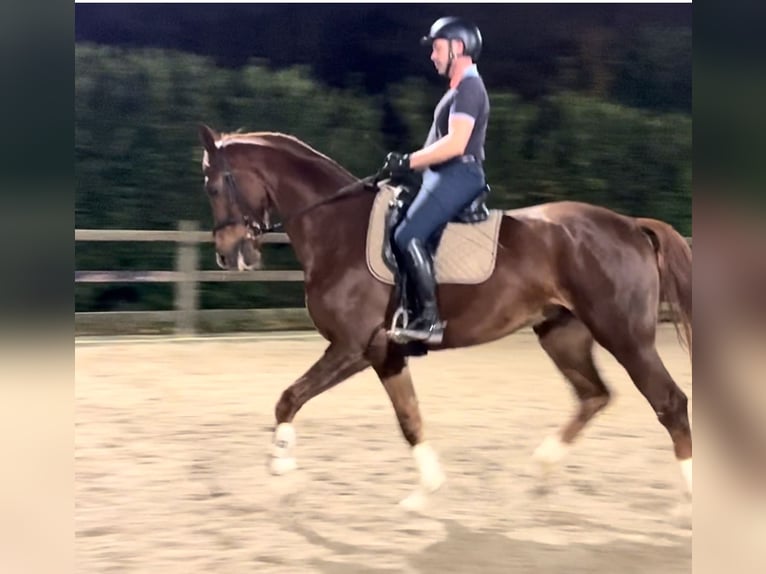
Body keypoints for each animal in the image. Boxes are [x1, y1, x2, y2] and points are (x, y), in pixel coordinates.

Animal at [197, 124, 693, 506]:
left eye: (214, 186)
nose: (228, 255)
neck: (338, 230)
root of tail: (631, 225)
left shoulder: (352, 346)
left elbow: (289, 397)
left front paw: (280, 466)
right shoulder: (384, 352)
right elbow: (409, 418)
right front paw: (427, 490)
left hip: (624, 335)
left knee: (669, 402)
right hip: (561, 334)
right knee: (594, 395)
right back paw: (542, 468)